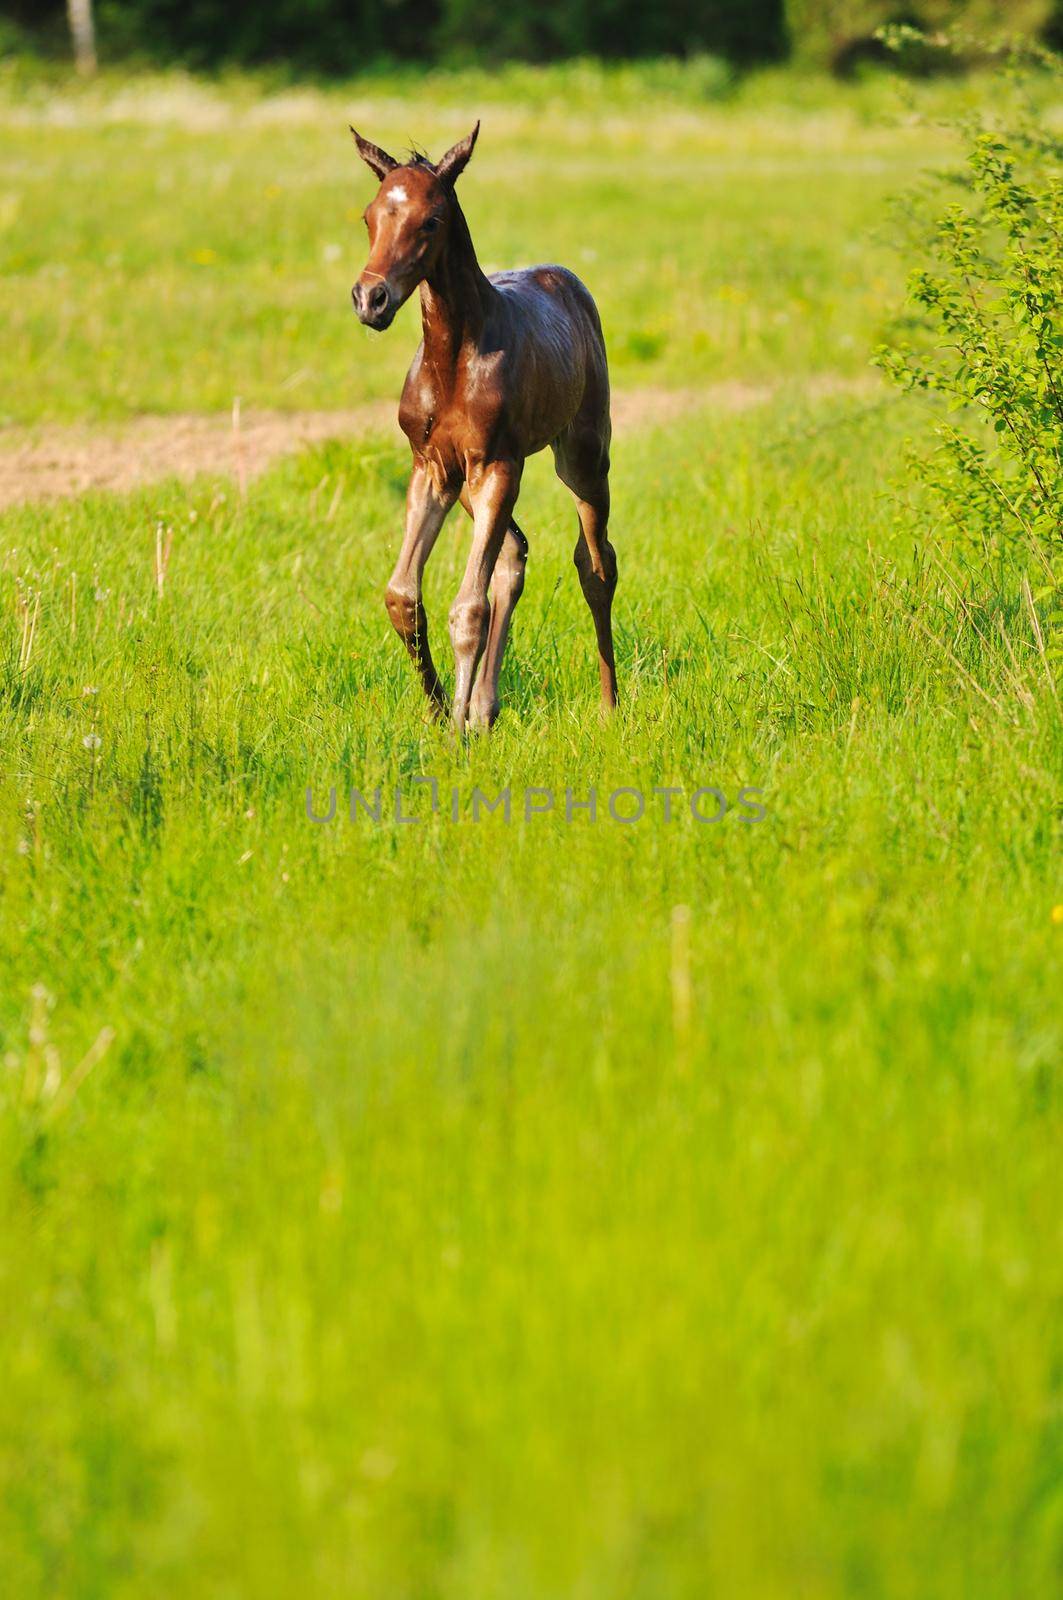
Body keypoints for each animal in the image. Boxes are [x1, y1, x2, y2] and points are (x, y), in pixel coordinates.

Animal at [350, 123, 614, 726]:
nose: (371, 299)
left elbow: (467, 607)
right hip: (471, 483)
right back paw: (483, 709)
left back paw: (610, 706)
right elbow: (403, 596)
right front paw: (441, 713)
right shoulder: (432, 469)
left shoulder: (496, 464)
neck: (451, 361)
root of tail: (569, 282)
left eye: (430, 220)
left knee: (596, 564)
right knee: (514, 555)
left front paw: (455, 730)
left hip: (580, 456)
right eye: (370, 217)